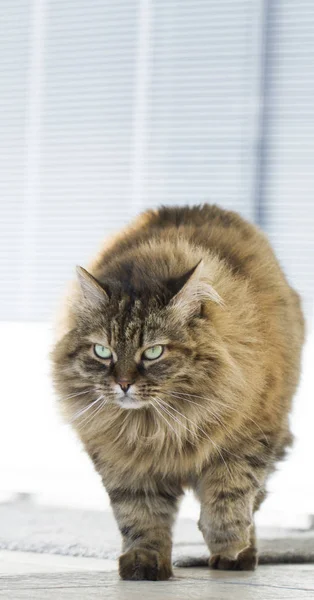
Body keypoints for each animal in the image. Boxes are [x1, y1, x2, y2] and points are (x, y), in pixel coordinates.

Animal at [51, 204, 304, 580]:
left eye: (154, 352)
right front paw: (144, 565)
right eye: (103, 351)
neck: (157, 425)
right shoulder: (124, 461)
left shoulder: (248, 440)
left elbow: (229, 499)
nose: (122, 383)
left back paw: (243, 555)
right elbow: (140, 516)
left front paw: (229, 547)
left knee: (252, 504)